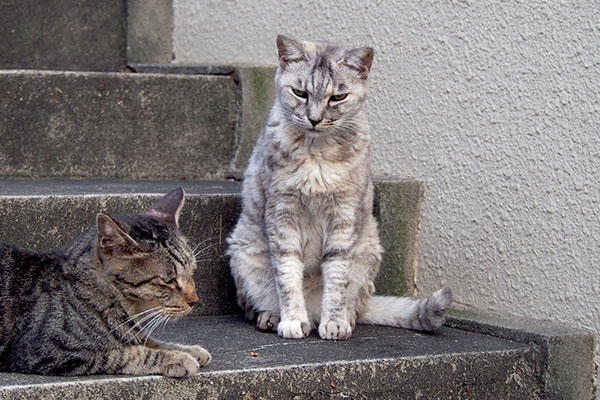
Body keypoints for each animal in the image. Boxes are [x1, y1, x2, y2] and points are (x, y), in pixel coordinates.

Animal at [0, 189, 211, 376]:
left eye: (192, 272)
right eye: (170, 281)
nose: (195, 301)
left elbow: (150, 340)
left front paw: (188, 350)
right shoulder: (46, 351)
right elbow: (128, 353)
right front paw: (176, 358)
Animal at [227, 35, 452, 340]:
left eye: (338, 97)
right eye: (299, 92)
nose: (314, 118)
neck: (316, 153)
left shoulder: (344, 217)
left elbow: (337, 278)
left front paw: (334, 322)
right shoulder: (282, 213)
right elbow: (287, 274)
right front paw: (293, 320)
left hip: (368, 253)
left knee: (352, 305)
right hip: (244, 253)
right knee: (258, 304)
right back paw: (272, 317)